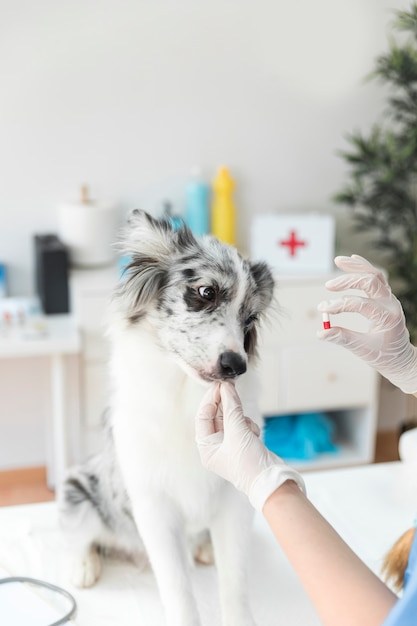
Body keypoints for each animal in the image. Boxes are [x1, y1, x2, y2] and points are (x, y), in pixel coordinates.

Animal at [58, 210, 272, 624]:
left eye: (250, 318)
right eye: (206, 293)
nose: (235, 365)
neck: (184, 398)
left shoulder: (235, 500)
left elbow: (235, 582)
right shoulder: (153, 506)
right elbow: (178, 590)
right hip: (80, 487)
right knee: (81, 537)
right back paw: (83, 566)